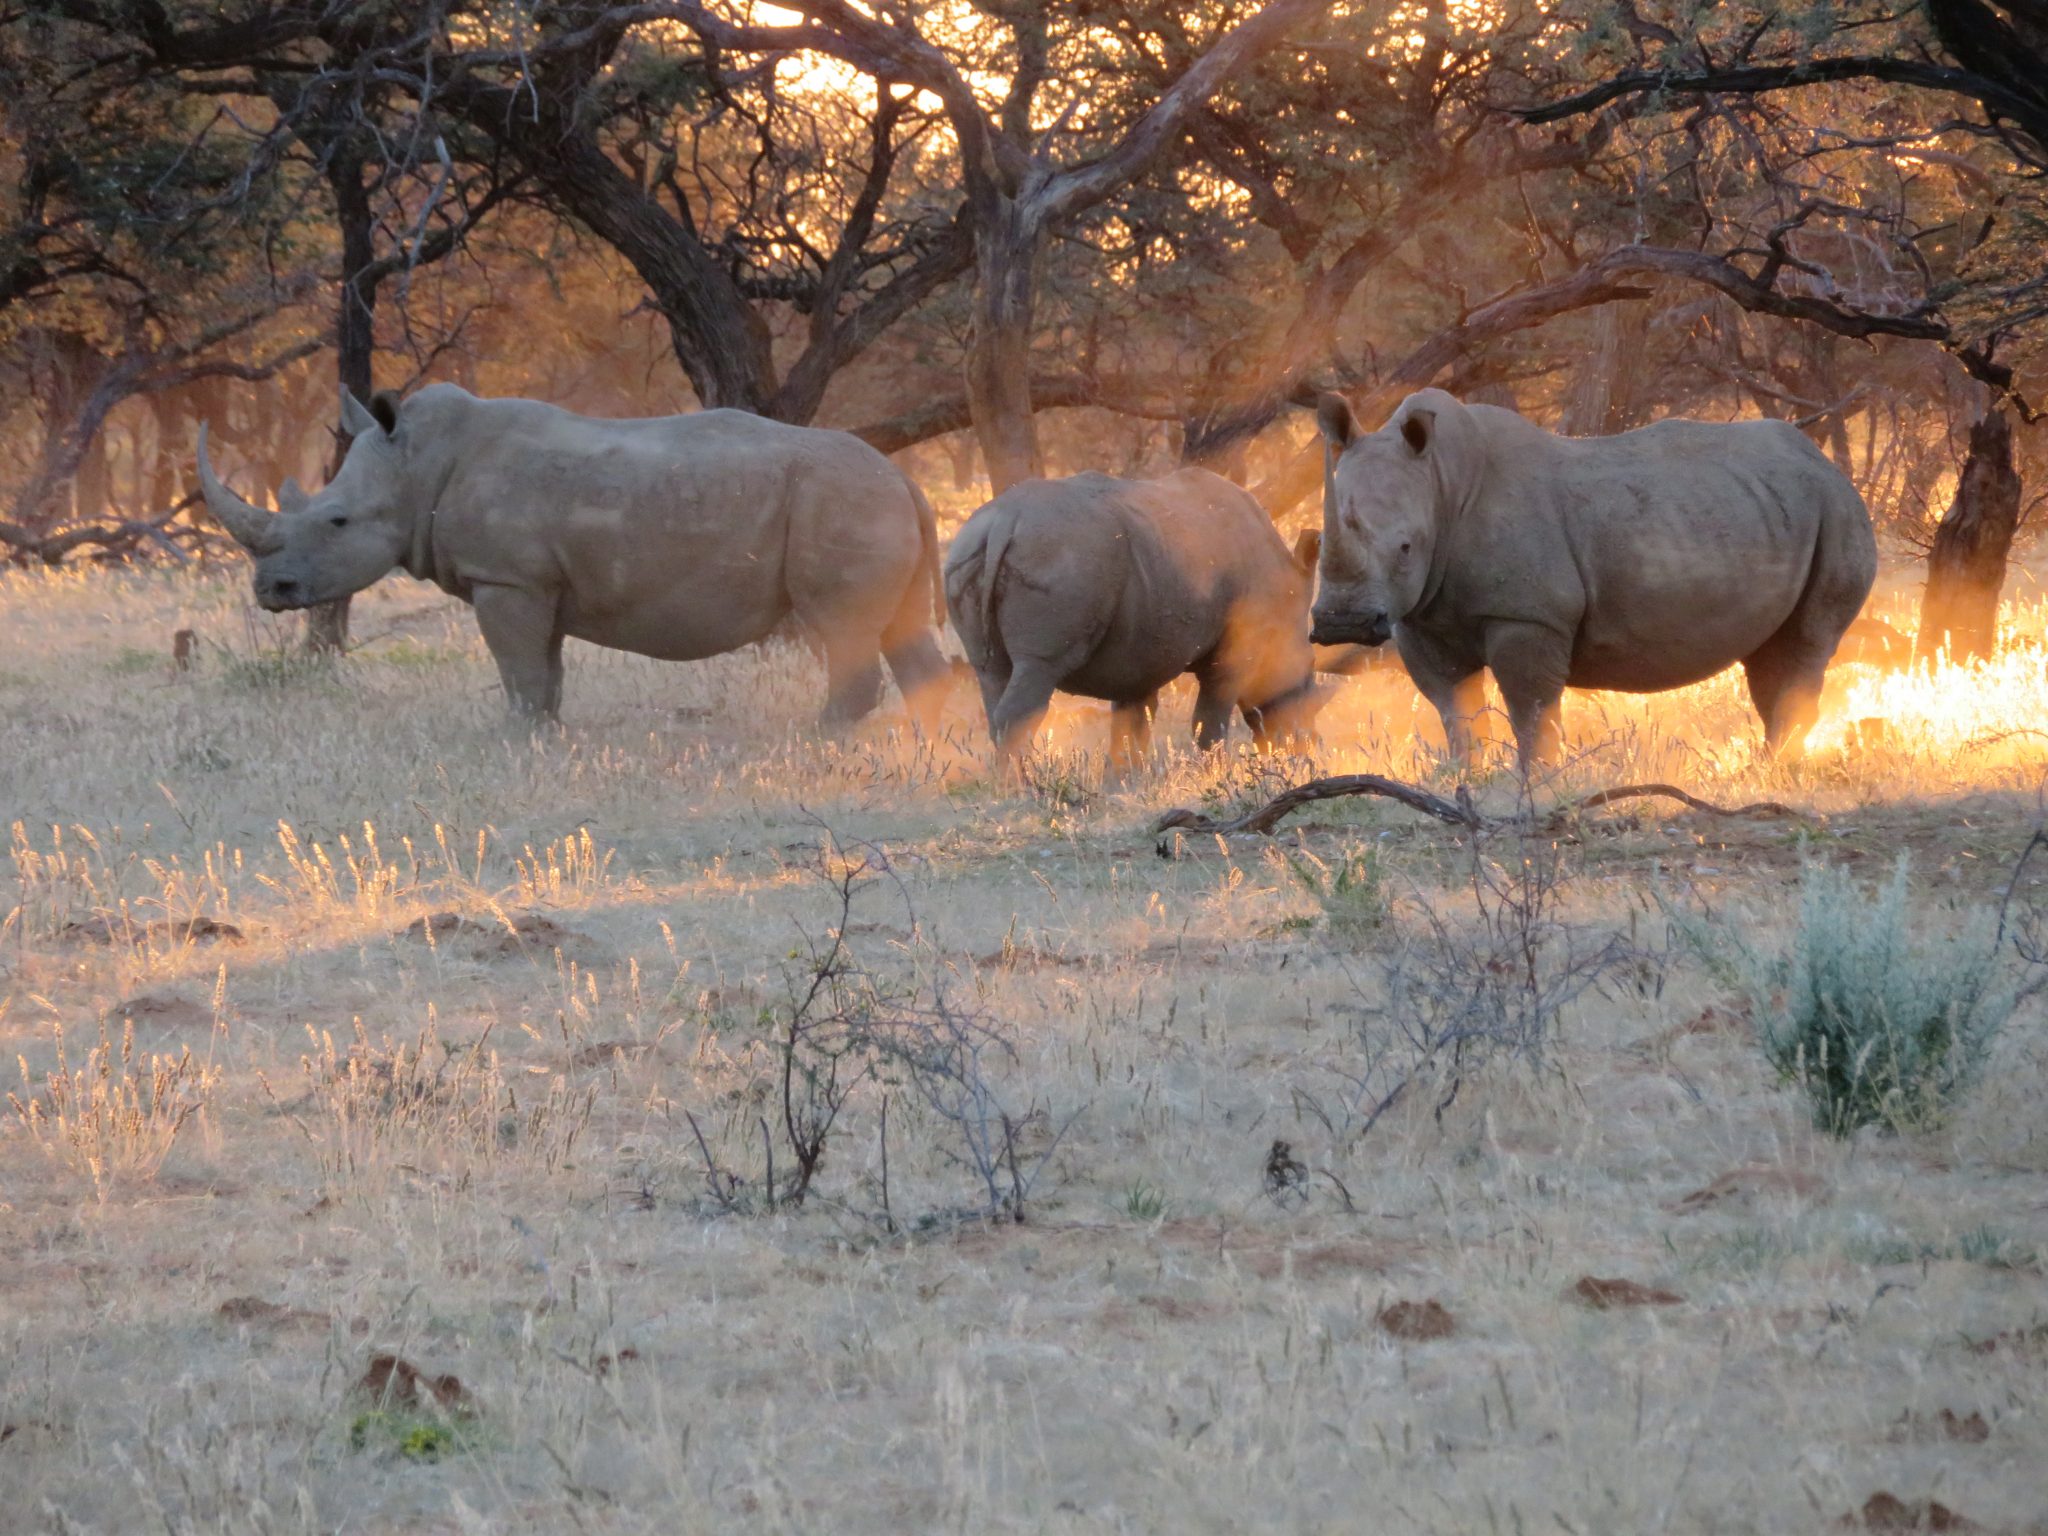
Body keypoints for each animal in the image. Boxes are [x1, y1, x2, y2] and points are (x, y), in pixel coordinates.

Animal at [195, 382, 946, 724]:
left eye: (337, 520)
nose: (271, 591)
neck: (416, 463)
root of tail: (906, 480)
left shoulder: (507, 579)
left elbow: (518, 668)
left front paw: (516, 739)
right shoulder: (537, 583)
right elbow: (543, 670)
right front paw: (547, 733)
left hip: (844, 501)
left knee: (842, 626)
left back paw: (821, 736)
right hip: (869, 502)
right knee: (902, 631)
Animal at [946, 468, 1327, 757]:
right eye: (1309, 667)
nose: (1305, 746)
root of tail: (1004, 521)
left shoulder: (1140, 654)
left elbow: (1132, 720)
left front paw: (1121, 784)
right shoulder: (1235, 650)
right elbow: (1209, 721)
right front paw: (1213, 772)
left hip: (967, 552)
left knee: (991, 673)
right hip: (1057, 557)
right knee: (1037, 670)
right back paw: (1026, 790)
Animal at [1310, 387, 1875, 765]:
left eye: (1405, 547)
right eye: (1317, 547)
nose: (1342, 624)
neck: (1439, 485)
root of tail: (1822, 462)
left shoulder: (1530, 616)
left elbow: (1531, 708)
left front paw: (1536, 781)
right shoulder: (1420, 616)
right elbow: (1455, 708)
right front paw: (1467, 777)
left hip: (1839, 511)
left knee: (1807, 640)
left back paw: (1780, 768)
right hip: (1768, 507)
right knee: (1768, 653)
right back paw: (1769, 764)